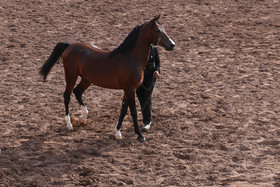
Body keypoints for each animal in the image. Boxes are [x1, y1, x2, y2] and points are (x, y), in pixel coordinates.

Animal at [39, 15, 175, 142]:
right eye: (158, 30)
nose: (172, 45)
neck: (131, 58)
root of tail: (70, 46)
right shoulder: (131, 89)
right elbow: (133, 112)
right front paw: (140, 135)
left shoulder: (128, 90)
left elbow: (123, 110)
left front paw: (117, 132)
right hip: (71, 76)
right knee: (67, 95)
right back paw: (69, 123)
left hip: (87, 79)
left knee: (77, 92)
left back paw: (84, 116)